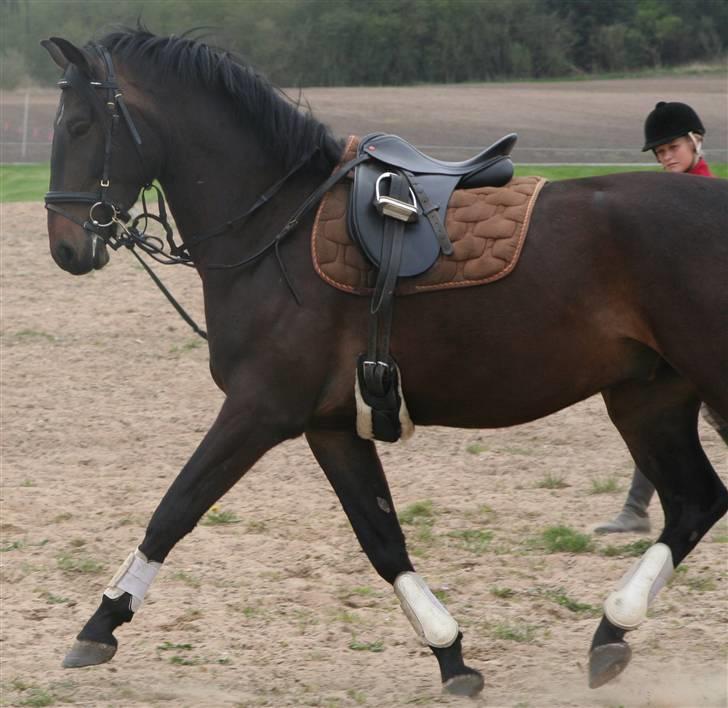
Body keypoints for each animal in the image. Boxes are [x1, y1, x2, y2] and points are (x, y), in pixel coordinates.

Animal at [41, 31, 728, 696]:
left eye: (78, 125)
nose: (66, 248)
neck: (277, 231)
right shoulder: (331, 426)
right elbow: (382, 538)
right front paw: (450, 654)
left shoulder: (259, 410)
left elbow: (175, 508)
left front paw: (102, 622)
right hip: (646, 399)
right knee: (696, 501)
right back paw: (611, 630)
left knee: (697, 499)